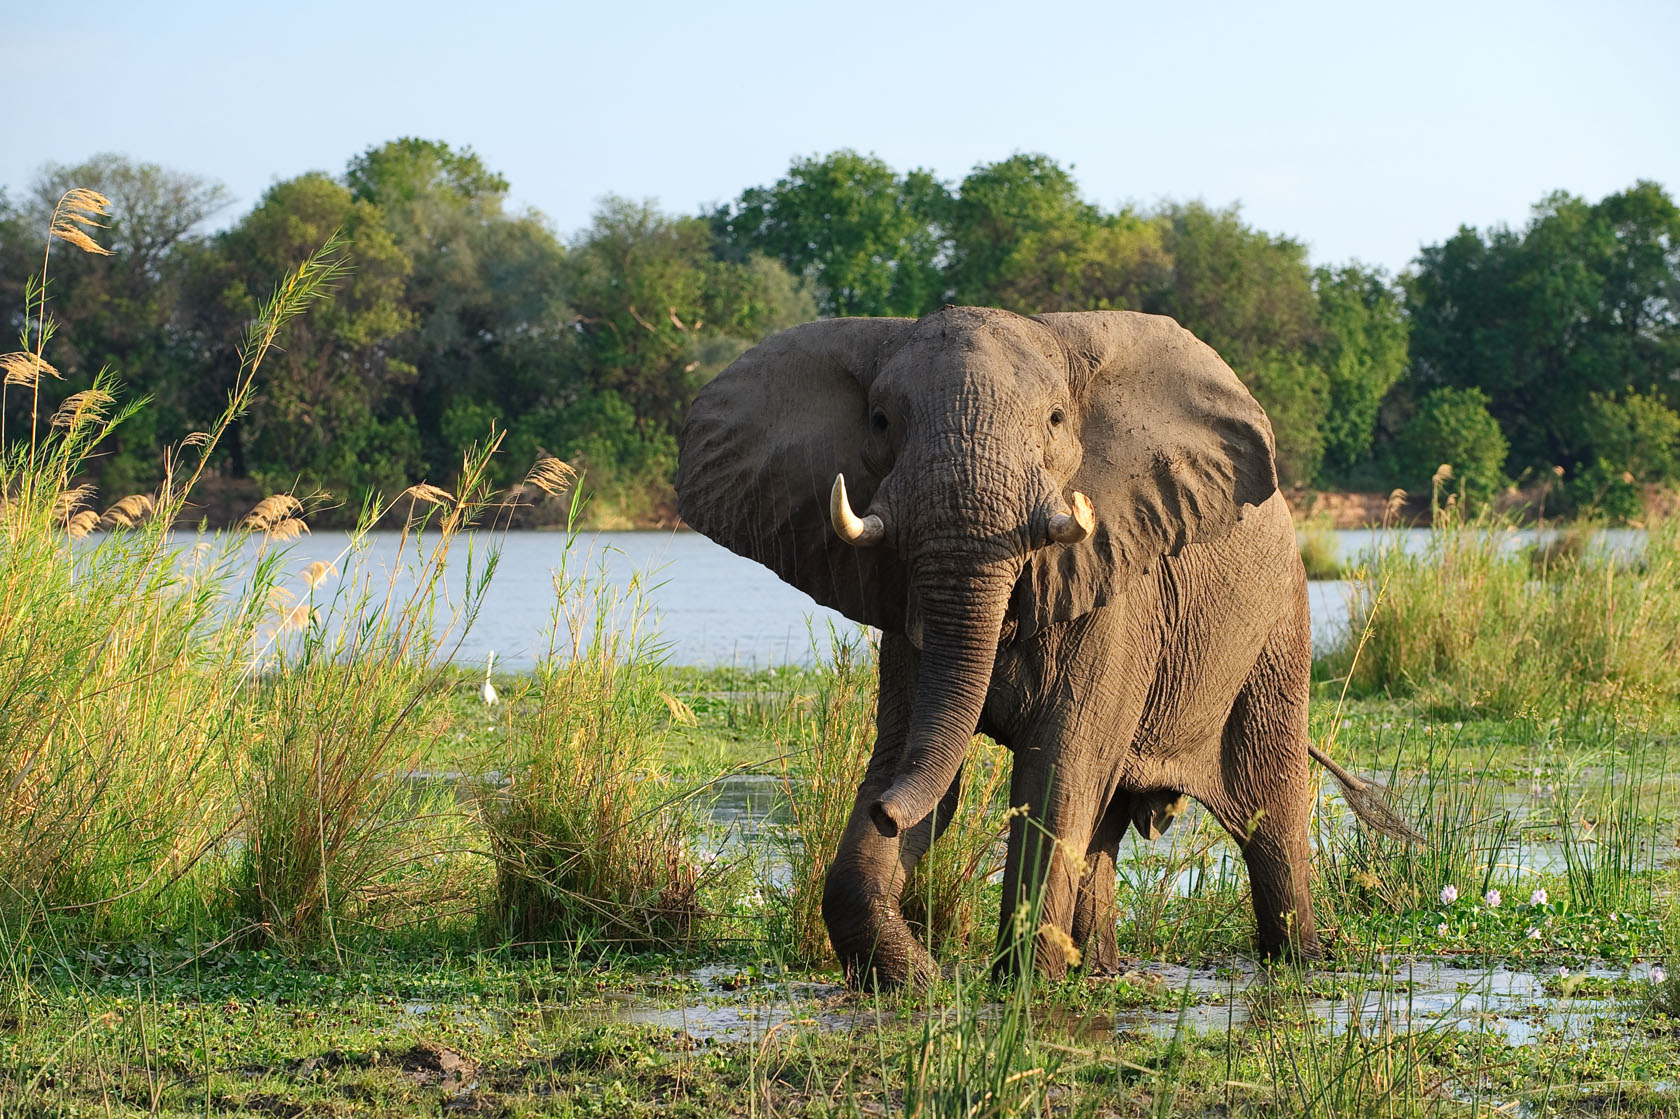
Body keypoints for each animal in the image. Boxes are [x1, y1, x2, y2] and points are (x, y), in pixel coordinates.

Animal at [675, 306, 1400, 988]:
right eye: (879, 422)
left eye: (1055, 419)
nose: (881, 811)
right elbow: (921, 758)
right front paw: (923, 984)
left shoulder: (1116, 590)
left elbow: (1056, 769)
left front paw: (1016, 987)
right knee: (1106, 824)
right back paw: (1099, 972)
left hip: (1276, 629)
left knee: (1266, 814)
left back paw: (1297, 963)